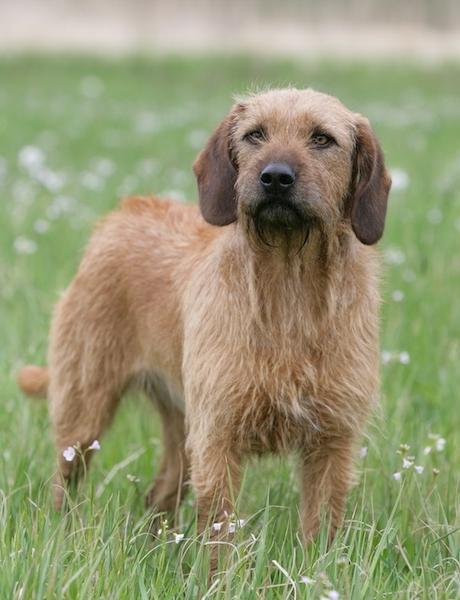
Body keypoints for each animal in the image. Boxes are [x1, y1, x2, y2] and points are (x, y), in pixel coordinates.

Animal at [18, 89, 392, 544]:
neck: (289, 289)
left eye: (322, 139)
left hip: (180, 430)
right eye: (255, 135)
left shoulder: (332, 443)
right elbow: (219, 536)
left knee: (159, 494)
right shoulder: (217, 439)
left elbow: (320, 534)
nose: (275, 177)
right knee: (63, 483)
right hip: (84, 416)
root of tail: (122, 213)